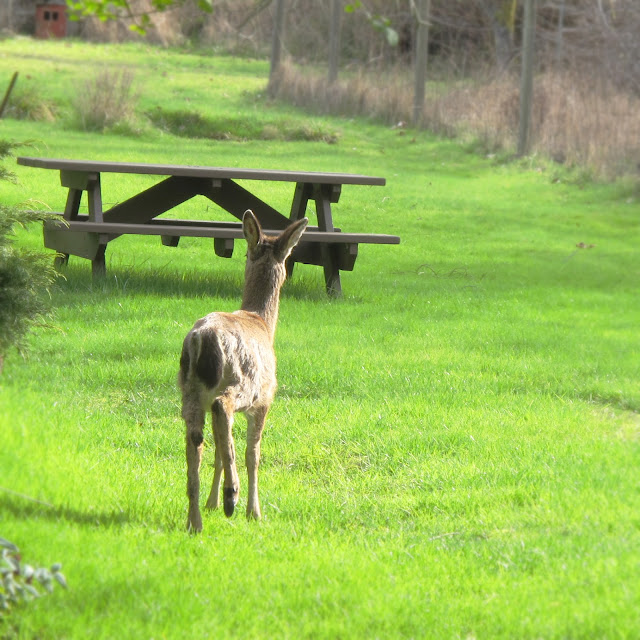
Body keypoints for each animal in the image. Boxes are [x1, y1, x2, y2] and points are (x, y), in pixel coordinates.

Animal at [178, 209, 308, 528]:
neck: (262, 321)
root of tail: (200, 339)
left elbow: (220, 451)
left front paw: (211, 503)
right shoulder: (265, 399)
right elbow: (253, 453)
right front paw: (254, 511)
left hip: (188, 390)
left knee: (196, 443)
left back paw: (195, 520)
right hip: (242, 382)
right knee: (221, 408)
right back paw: (231, 496)